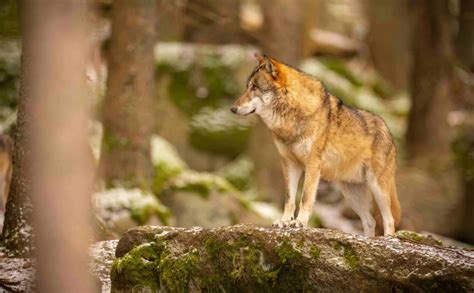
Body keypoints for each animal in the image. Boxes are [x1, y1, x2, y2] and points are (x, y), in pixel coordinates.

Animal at [231, 53, 400, 236]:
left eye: (255, 87)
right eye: (247, 87)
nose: (232, 108)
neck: (290, 118)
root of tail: (388, 131)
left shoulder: (312, 165)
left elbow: (305, 197)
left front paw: (299, 223)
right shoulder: (289, 164)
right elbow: (289, 198)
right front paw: (284, 221)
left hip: (377, 188)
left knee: (389, 220)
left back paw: (388, 239)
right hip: (351, 193)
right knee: (370, 221)